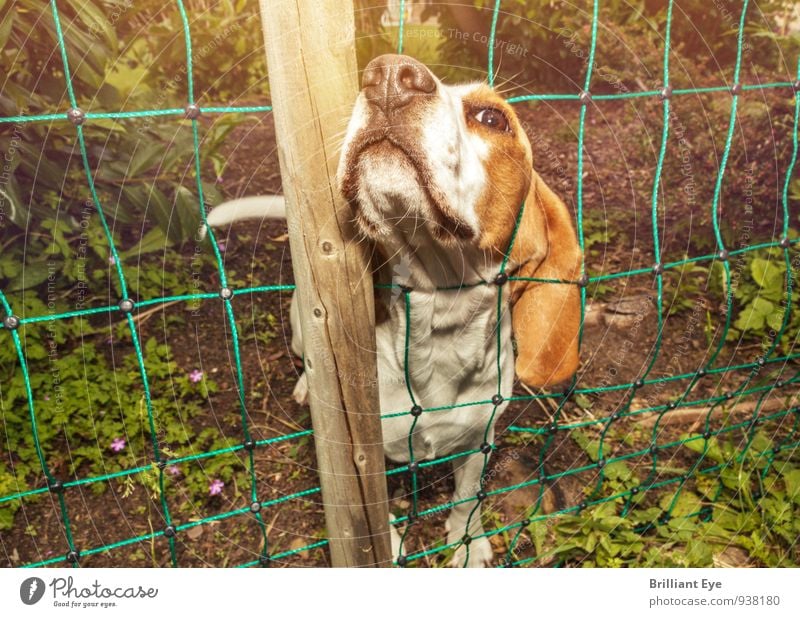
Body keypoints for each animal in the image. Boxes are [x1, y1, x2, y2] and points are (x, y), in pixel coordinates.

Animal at [205, 55, 580, 564]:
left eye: (492, 118)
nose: (387, 75)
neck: (440, 323)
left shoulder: (480, 442)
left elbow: (467, 499)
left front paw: (468, 543)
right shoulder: (363, 452)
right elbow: (375, 506)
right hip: (303, 327)